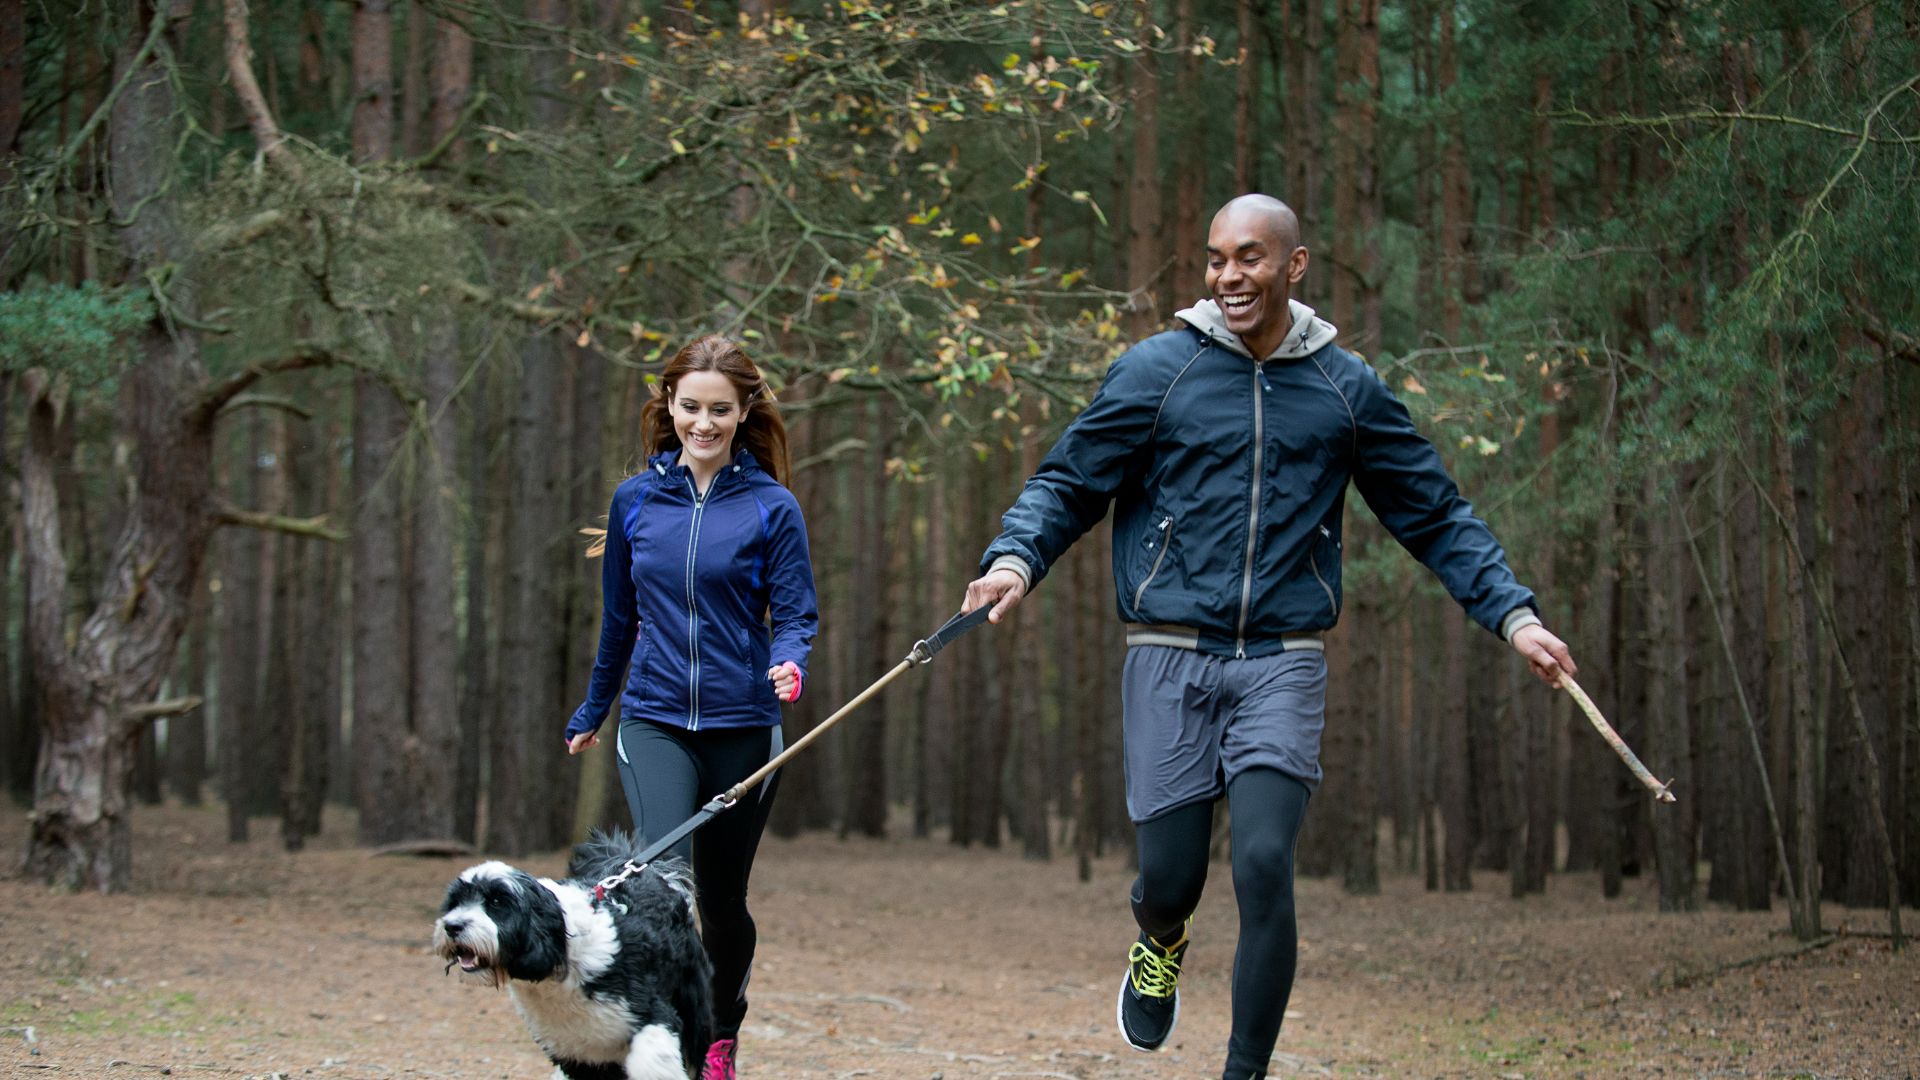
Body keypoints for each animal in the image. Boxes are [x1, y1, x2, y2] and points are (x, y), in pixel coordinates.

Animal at [432, 826, 718, 1068]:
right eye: (456, 901)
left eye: (497, 902)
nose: (453, 926)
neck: (565, 954)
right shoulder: (578, 1053)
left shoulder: (654, 1014)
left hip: (693, 1009)